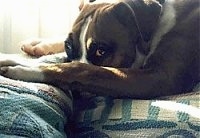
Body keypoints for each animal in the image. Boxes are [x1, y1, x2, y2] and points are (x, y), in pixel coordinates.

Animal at [0, 0, 200, 99]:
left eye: (101, 51)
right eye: (68, 46)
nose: (76, 94)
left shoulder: (159, 77)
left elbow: (83, 70)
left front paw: (22, 70)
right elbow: (63, 62)